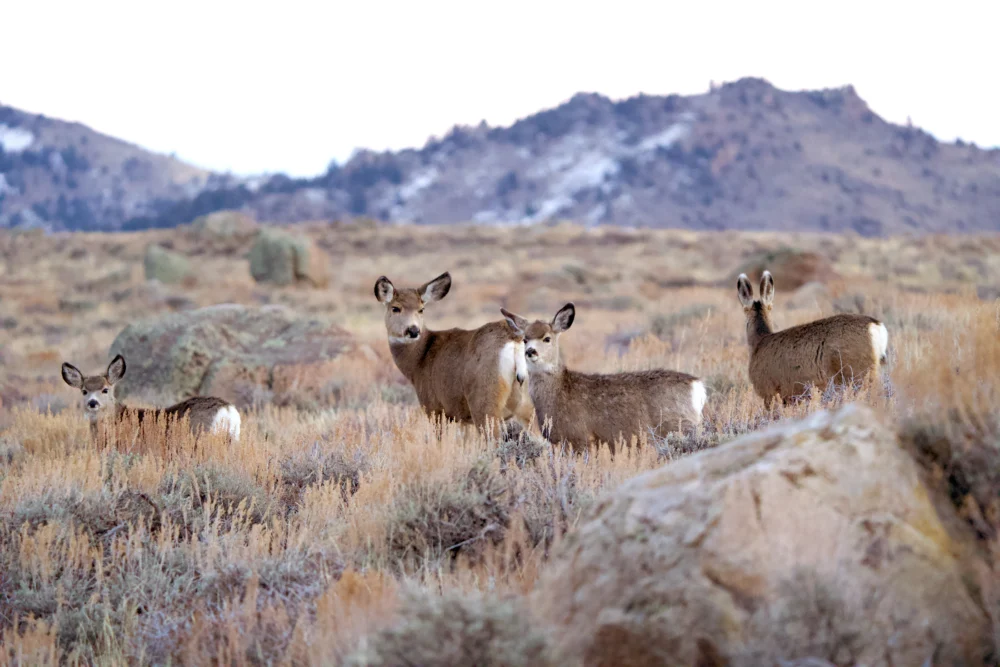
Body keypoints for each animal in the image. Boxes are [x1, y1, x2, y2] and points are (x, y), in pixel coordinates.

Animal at [374, 271, 533, 438]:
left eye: (421, 309)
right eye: (395, 308)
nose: (413, 330)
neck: (419, 360)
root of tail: (514, 340)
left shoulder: (435, 408)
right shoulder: (463, 418)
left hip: (484, 401)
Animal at [500, 303, 706, 453]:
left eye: (547, 338)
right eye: (525, 339)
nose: (530, 351)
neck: (560, 391)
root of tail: (697, 386)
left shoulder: (579, 438)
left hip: (680, 426)